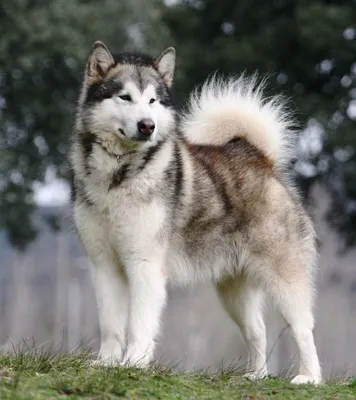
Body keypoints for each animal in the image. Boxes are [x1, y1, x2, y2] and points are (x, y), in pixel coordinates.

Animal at [69, 40, 322, 384]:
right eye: (125, 97)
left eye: (152, 100)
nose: (147, 126)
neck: (118, 176)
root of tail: (258, 158)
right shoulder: (104, 265)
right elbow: (110, 325)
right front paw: (107, 363)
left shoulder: (145, 264)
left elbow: (139, 324)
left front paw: (133, 363)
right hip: (233, 291)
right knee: (257, 330)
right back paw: (254, 376)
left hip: (284, 280)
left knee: (303, 328)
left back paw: (309, 377)